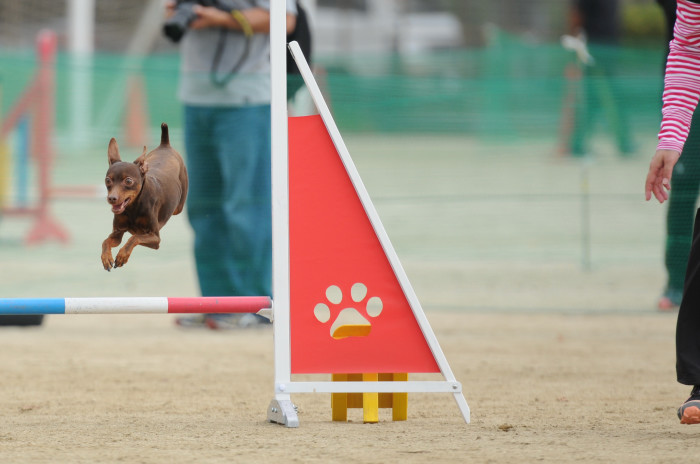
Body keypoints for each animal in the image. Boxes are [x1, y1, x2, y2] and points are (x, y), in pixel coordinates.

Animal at [101, 122, 187, 272]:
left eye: (128, 181)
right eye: (107, 180)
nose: (111, 198)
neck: (133, 207)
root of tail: (165, 145)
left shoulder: (155, 238)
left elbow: (134, 237)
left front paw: (122, 255)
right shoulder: (117, 233)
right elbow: (105, 241)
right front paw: (106, 258)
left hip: (178, 207)